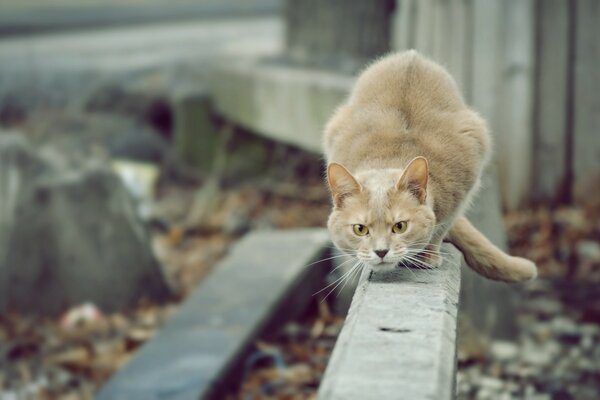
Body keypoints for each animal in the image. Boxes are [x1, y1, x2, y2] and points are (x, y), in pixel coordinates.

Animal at [324, 50, 540, 282]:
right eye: (360, 229)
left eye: (400, 226)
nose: (381, 251)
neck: (392, 156)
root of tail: (411, 55)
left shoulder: (464, 189)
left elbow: (440, 227)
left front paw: (427, 256)